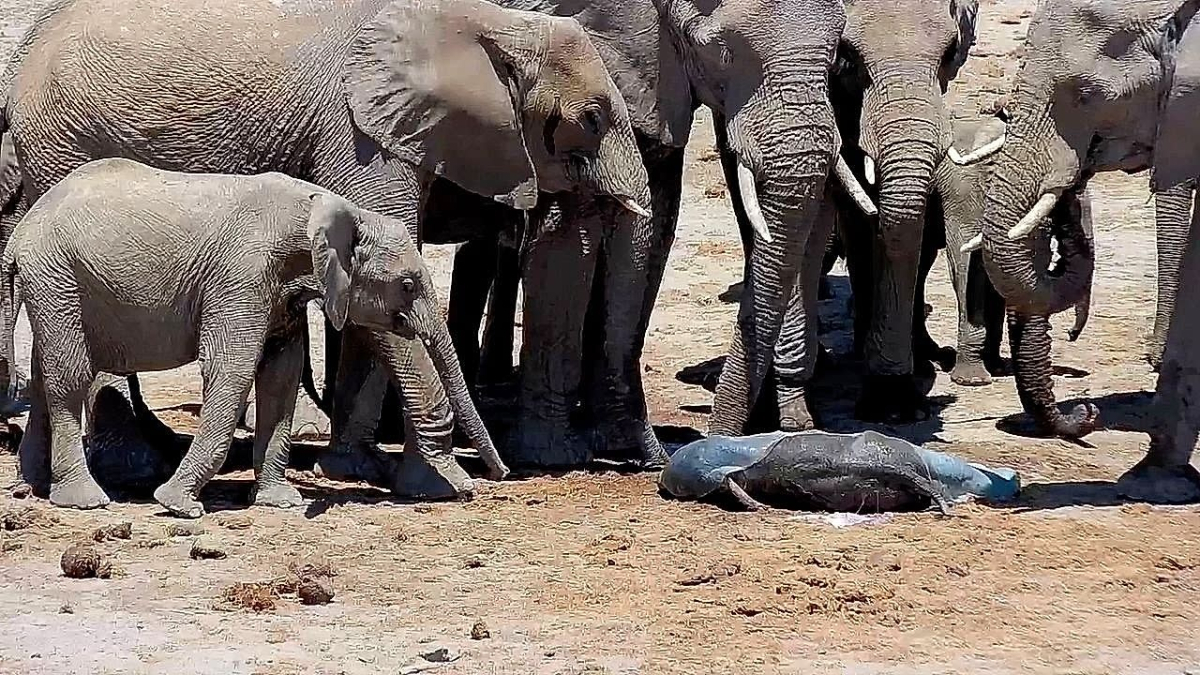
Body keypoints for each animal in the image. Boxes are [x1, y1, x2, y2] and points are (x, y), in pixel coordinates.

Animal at [2, 158, 504, 515]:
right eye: (407, 285)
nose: (492, 479)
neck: (322, 208)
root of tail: (22, 231)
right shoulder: (242, 275)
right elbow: (233, 367)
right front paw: (178, 506)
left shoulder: (283, 292)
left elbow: (280, 374)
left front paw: (280, 503)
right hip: (57, 275)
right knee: (70, 375)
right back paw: (85, 500)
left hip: (54, 283)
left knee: (45, 377)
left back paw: (33, 487)